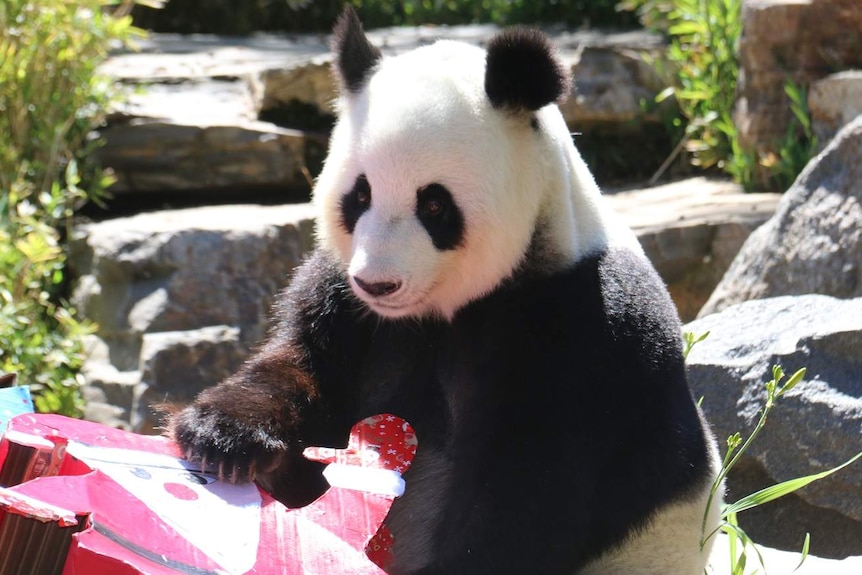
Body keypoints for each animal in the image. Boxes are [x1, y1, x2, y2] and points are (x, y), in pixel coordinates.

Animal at [169, 9, 724, 575]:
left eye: (434, 205)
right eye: (359, 195)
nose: (378, 282)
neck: (438, 311)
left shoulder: (580, 327)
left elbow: (529, 492)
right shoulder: (343, 300)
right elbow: (305, 371)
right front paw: (222, 437)